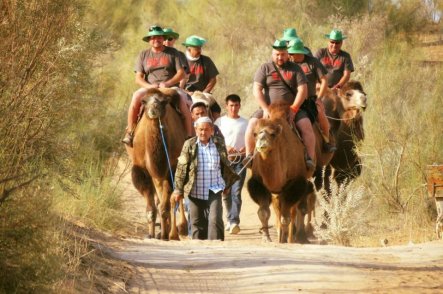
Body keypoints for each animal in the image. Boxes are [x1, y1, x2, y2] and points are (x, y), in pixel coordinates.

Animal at [125, 88, 188, 240]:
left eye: (164, 102)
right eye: (144, 101)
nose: (154, 108)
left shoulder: (172, 168)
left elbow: (166, 204)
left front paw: (166, 235)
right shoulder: (141, 169)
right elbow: (151, 208)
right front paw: (151, 234)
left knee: (175, 197)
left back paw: (179, 229)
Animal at [246, 103, 316, 243]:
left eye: (272, 134)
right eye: (255, 134)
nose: (262, 142)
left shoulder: (295, 182)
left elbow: (286, 217)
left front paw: (283, 238)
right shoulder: (259, 183)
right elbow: (264, 212)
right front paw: (266, 237)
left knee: (299, 208)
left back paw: (297, 237)